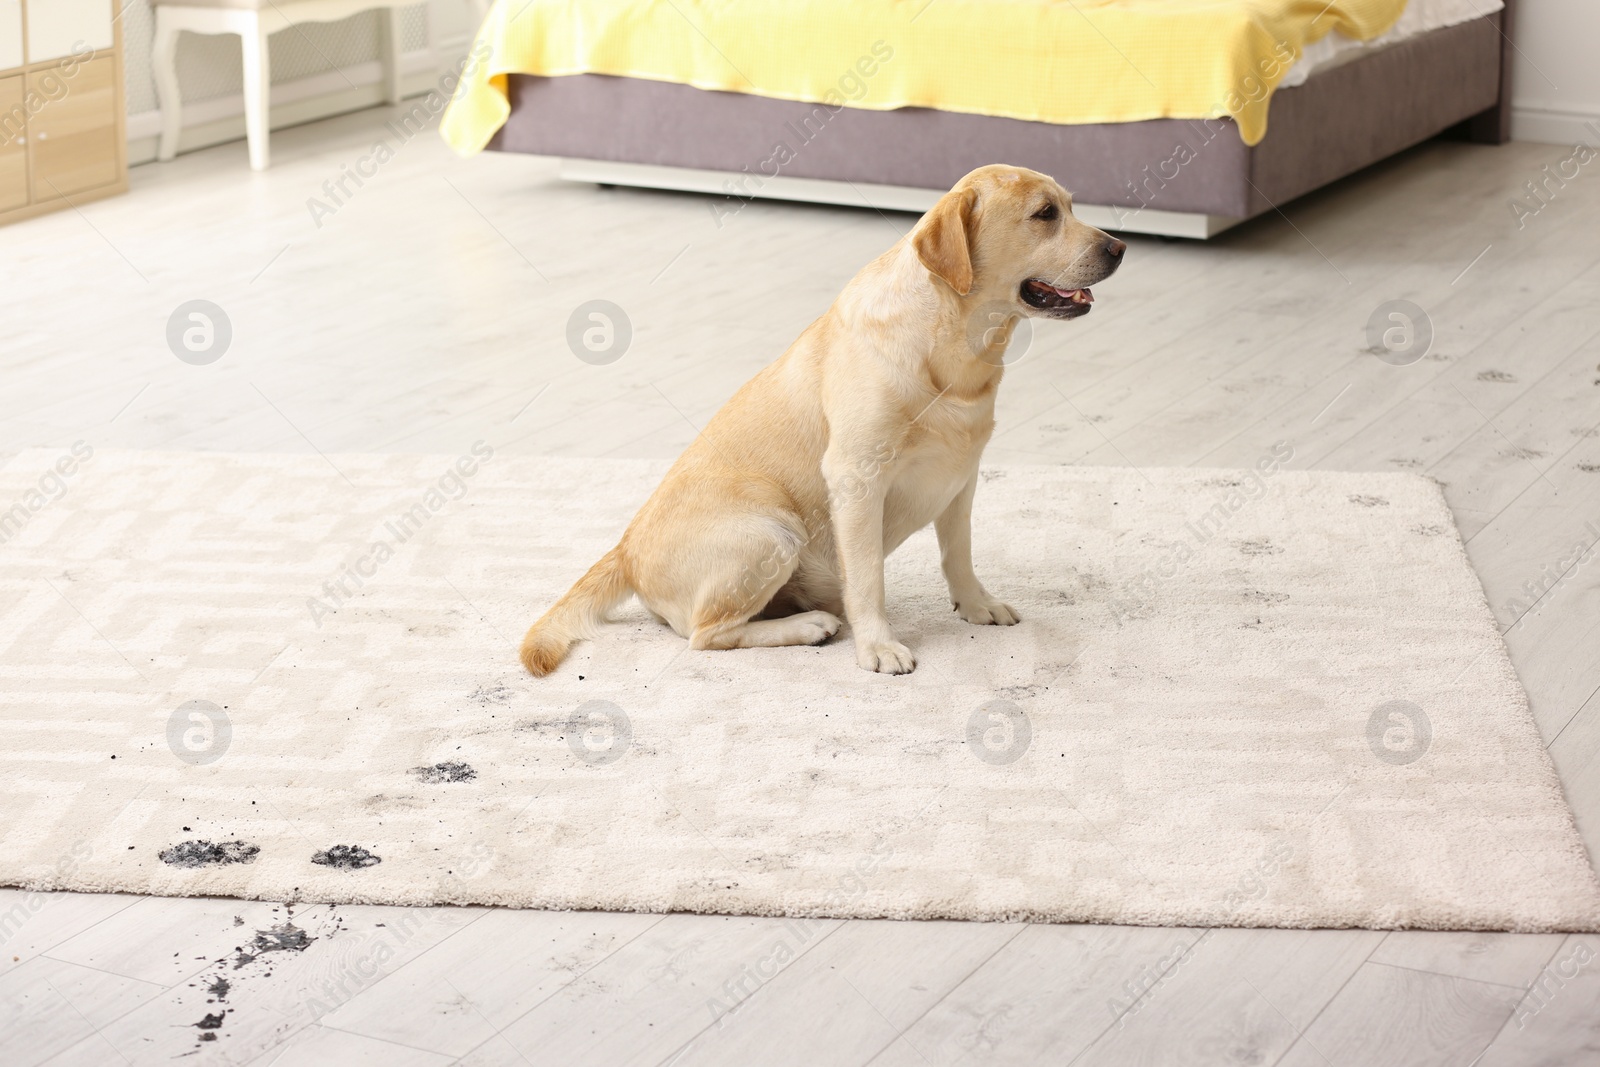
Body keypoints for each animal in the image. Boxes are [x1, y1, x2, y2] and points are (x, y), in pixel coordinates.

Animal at [524, 163, 1126, 675]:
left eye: (1070, 205)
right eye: (1044, 214)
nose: (1120, 247)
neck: (953, 350)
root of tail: (624, 551)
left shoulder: (963, 476)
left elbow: (959, 554)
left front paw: (976, 605)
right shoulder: (857, 479)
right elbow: (868, 580)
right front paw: (878, 645)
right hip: (770, 529)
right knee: (706, 634)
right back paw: (808, 624)